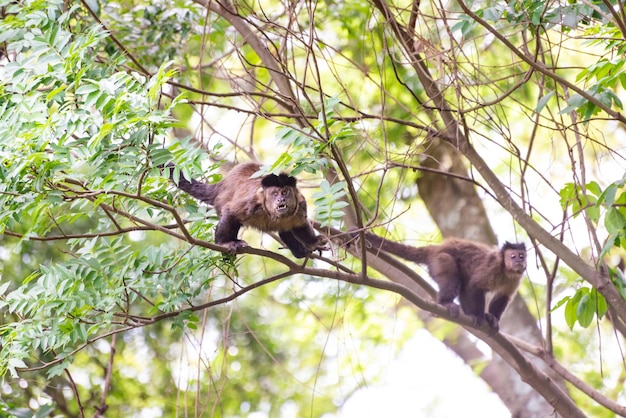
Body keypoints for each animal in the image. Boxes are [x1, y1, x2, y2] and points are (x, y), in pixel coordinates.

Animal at [168, 162, 330, 258]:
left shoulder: (300, 204)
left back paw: (299, 253)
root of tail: (222, 184)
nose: (281, 200)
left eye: (285, 192)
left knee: (285, 230)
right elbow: (231, 211)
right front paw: (223, 244)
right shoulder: (253, 203)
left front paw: (313, 242)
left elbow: (300, 225)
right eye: (274, 194)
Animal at [352, 230, 520, 332]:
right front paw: (478, 316)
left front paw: (492, 318)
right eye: (513, 256)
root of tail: (435, 248)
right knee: (452, 275)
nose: (519, 261)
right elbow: (474, 286)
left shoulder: (516, 278)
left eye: (521, 256)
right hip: (439, 259)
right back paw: (445, 303)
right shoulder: (492, 267)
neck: (505, 270)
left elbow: (502, 296)